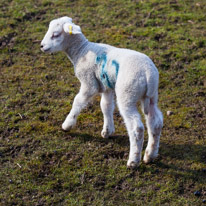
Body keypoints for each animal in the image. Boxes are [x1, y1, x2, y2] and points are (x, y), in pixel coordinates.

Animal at [40, 15, 163, 167]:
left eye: (55, 34)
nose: (42, 46)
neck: (81, 50)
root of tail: (148, 73)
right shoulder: (106, 86)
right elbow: (106, 106)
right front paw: (107, 131)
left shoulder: (89, 83)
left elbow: (78, 101)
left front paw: (67, 124)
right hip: (152, 96)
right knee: (155, 123)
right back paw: (149, 155)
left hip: (127, 94)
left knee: (137, 128)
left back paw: (133, 160)